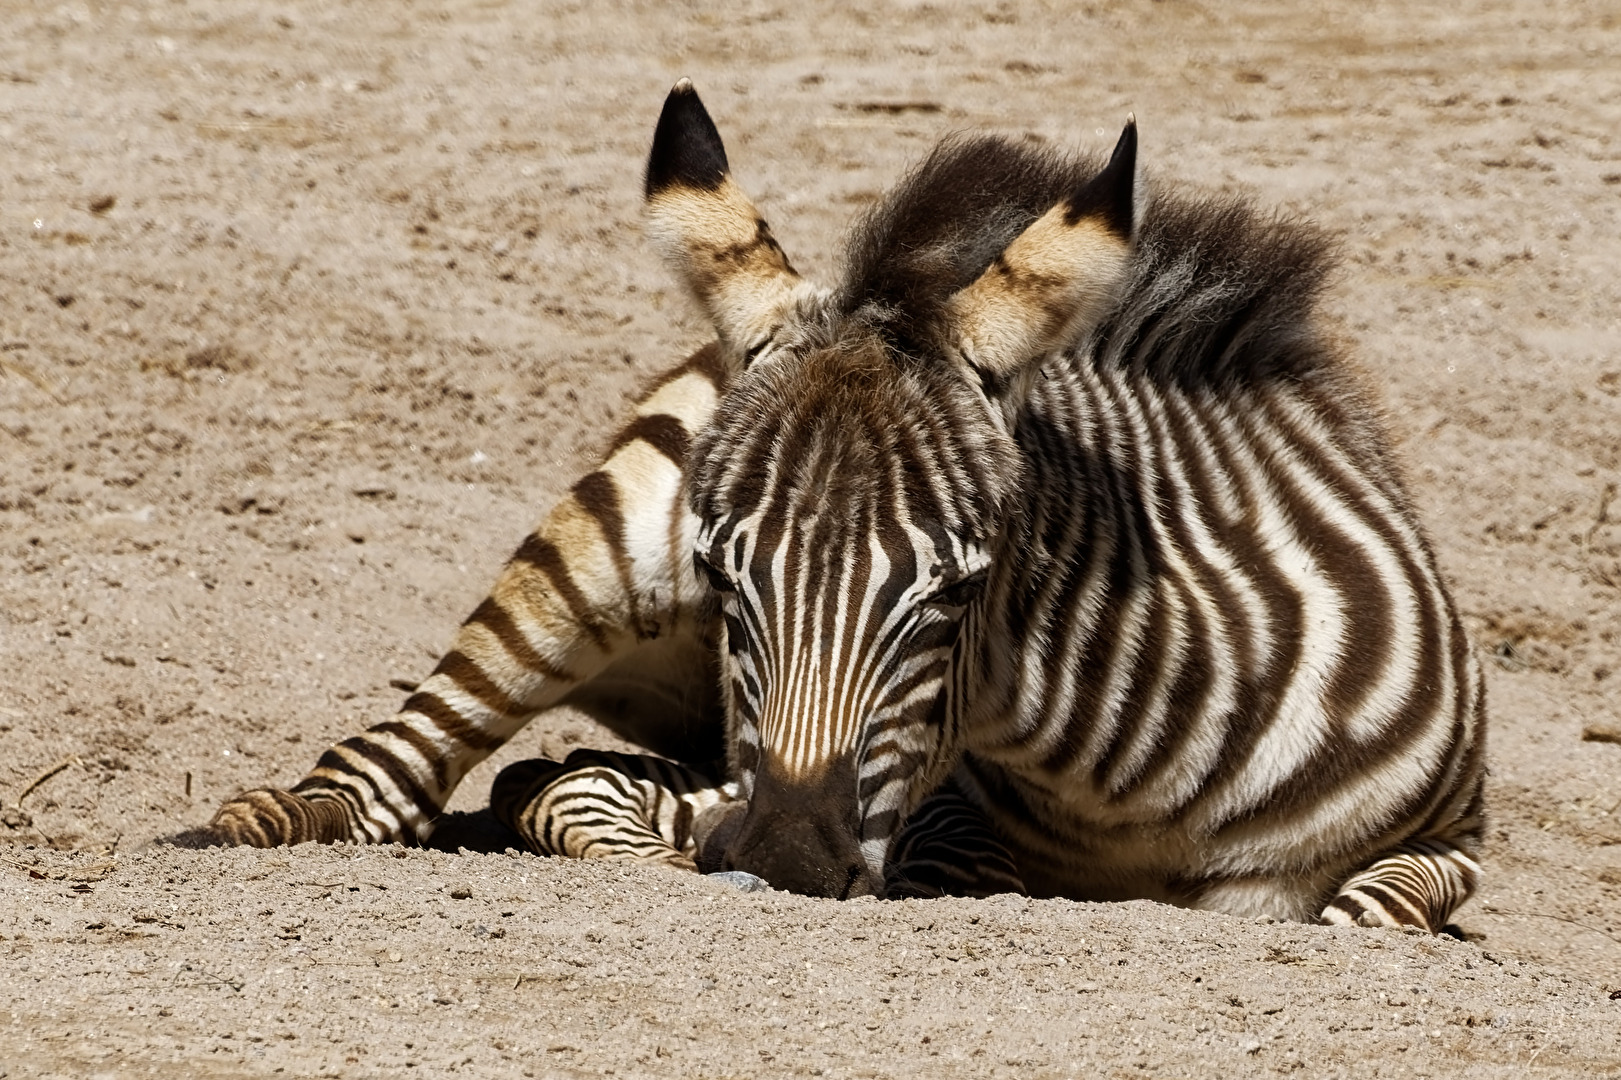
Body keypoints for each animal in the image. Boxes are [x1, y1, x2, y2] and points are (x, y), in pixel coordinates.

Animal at [199, 80, 1484, 932]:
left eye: (958, 588)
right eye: (723, 578)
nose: (781, 859)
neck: (1138, 799)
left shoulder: (1451, 845)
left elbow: (1368, 911)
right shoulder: (924, 816)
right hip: (589, 562)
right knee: (394, 773)